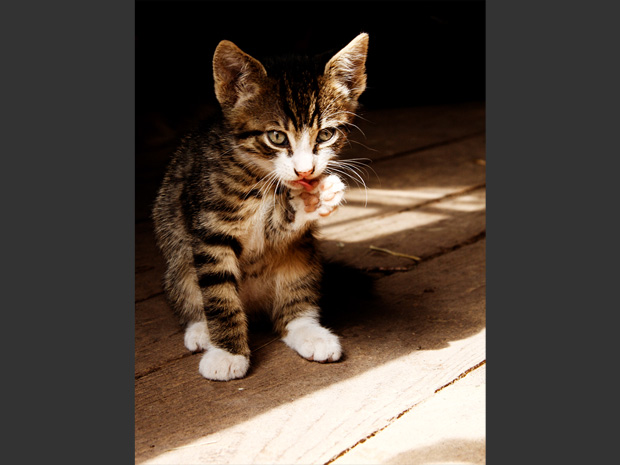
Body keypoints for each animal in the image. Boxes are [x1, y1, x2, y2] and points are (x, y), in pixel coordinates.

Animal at [153, 33, 370, 380]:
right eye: (277, 137)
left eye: (326, 134)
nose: (305, 171)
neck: (259, 175)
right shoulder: (208, 229)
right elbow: (219, 296)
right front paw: (227, 353)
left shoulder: (277, 233)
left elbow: (279, 228)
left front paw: (313, 199)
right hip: (179, 264)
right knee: (190, 291)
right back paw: (201, 331)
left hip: (302, 258)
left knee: (290, 308)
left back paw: (309, 332)